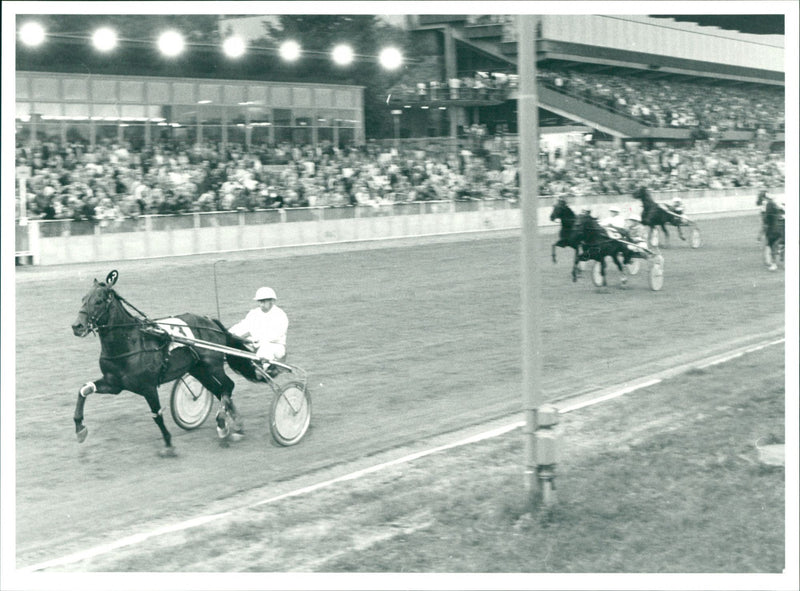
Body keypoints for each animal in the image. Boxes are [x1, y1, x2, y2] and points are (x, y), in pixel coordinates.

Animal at [71, 270, 255, 456]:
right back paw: (236, 426)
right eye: (83, 298)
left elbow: (157, 415)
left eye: (98, 301)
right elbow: (83, 390)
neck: (129, 344)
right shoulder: (114, 384)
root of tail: (211, 322)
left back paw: (223, 426)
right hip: (198, 370)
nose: (77, 326)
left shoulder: (148, 387)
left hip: (213, 366)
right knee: (220, 390)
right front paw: (80, 429)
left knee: (228, 386)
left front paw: (168, 444)